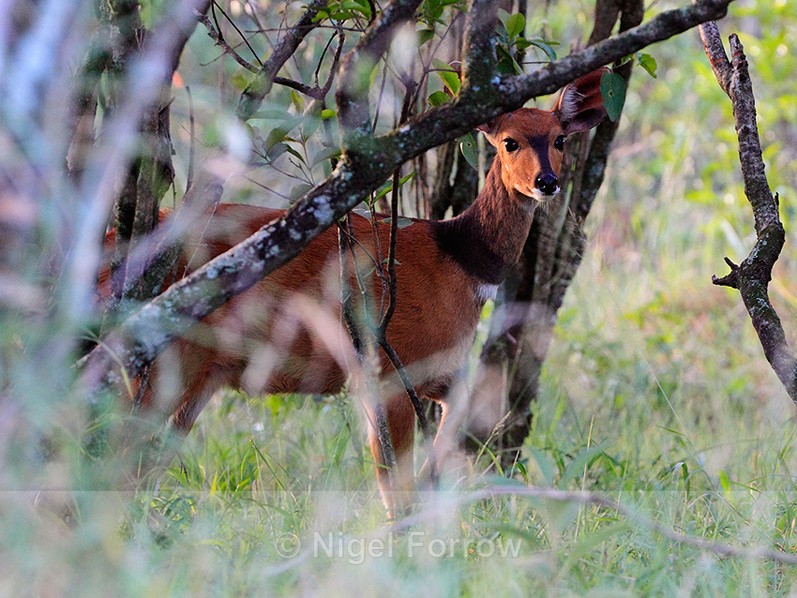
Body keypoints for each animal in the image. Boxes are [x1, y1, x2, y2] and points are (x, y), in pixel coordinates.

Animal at [101, 69, 608, 515]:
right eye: (509, 141)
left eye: (559, 140)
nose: (547, 182)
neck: (457, 258)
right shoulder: (388, 365)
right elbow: (393, 483)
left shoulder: (439, 372)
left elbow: (436, 461)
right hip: (162, 358)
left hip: (199, 373)